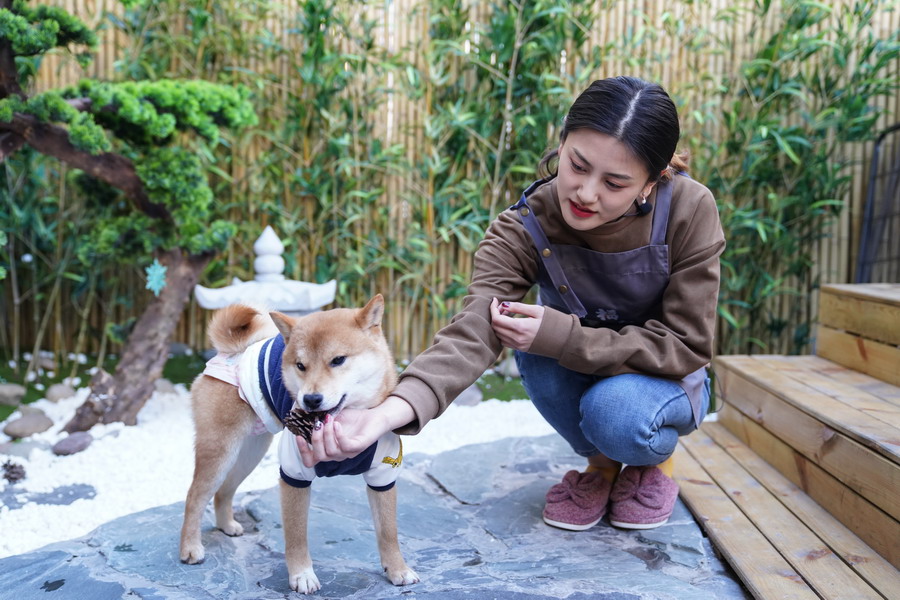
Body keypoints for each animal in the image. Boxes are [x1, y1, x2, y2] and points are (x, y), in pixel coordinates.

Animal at [179, 294, 419, 593]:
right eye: (300, 365)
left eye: (338, 360)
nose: (311, 400)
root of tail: (230, 353)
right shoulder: (294, 474)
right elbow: (296, 535)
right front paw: (302, 575)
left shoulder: (383, 476)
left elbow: (388, 531)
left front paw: (398, 569)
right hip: (220, 450)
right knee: (195, 496)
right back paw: (190, 548)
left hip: (250, 453)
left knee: (223, 492)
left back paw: (226, 526)